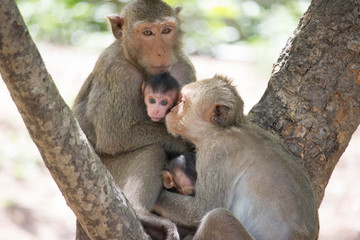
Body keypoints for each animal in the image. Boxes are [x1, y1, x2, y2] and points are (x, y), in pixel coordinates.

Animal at [72, 0, 195, 239]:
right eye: (147, 33)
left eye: (166, 31)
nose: (160, 52)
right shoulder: (115, 70)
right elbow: (114, 136)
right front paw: (186, 142)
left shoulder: (184, 67)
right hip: (106, 174)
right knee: (152, 150)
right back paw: (142, 213)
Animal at [153, 75, 320, 240]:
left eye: (182, 102)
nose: (172, 110)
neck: (221, 130)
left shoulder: (215, 152)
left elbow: (202, 209)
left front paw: (157, 196)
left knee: (217, 217)